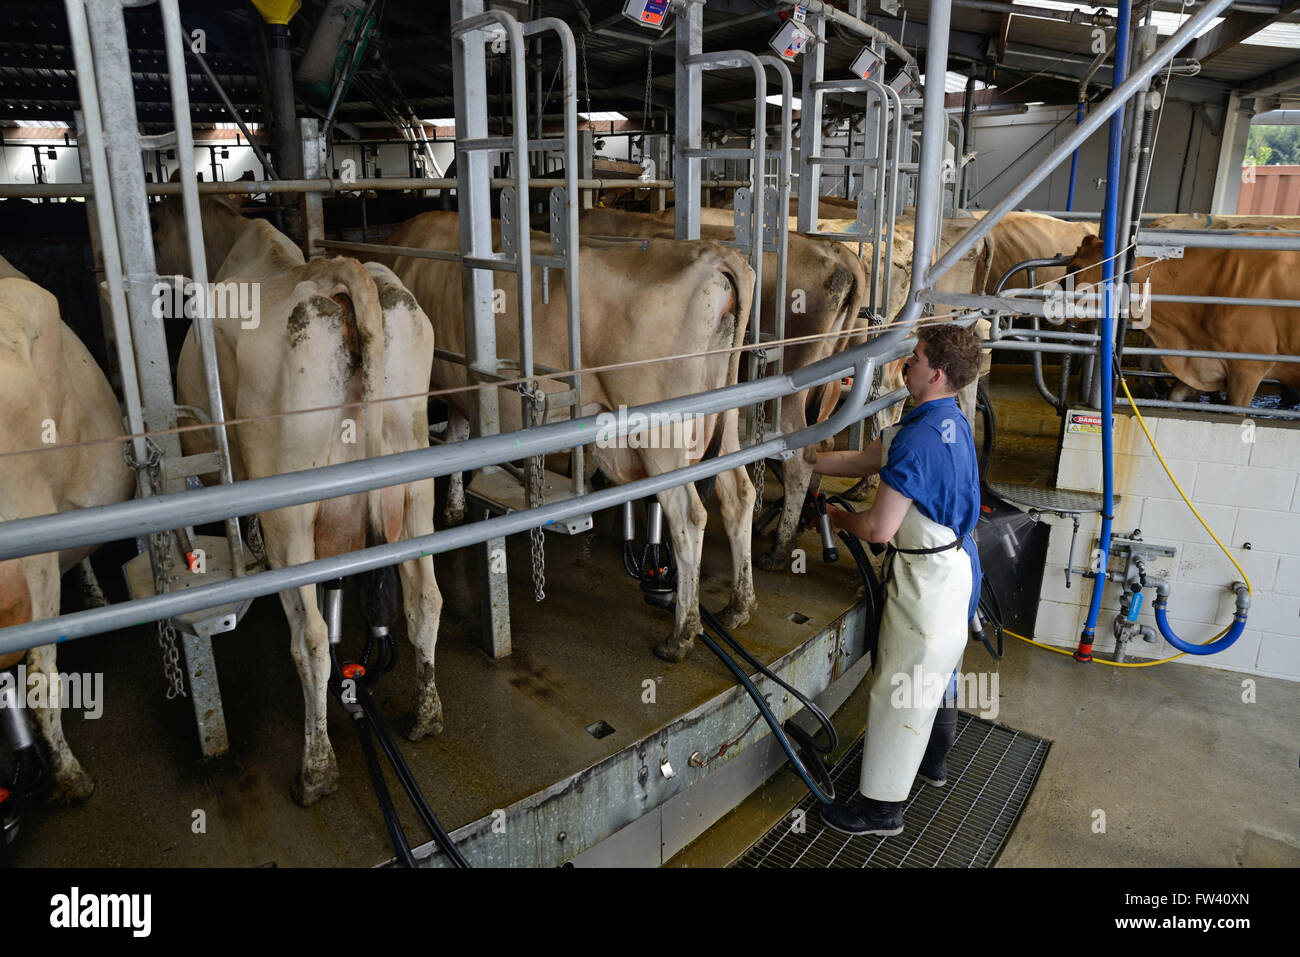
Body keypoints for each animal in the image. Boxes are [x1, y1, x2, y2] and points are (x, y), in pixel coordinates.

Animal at [377, 210, 759, 660]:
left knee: (688, 516)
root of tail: (713, 254)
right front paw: (454, 506)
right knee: (738, 494)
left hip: (659, 435)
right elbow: (457, 440)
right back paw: (739, 604)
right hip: (725, 410)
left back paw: (682, 633)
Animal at [574, 205, 868, 572]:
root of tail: (838, 252)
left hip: (789, 386)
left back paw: (780, 547)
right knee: (823, 442)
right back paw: (800, 520)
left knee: (802, 455)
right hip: (825, 381)